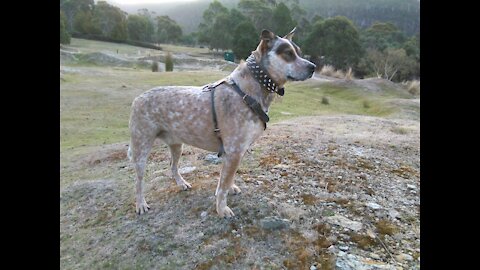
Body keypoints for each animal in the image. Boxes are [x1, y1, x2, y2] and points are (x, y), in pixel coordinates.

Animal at [128, 28, 316, 217]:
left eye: (299, 52)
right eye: (288, 53)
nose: (313, 67)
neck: (247, 91)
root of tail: (137, 99)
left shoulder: (233, 152)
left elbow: (226, 180)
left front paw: (230, 189)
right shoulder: (234, 151)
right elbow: (222, 187)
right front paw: (221, 209)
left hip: (176, 145)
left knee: (173, 167)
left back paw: (181, 184)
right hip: (141, 148)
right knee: (138, 182)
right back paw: (140, 204)